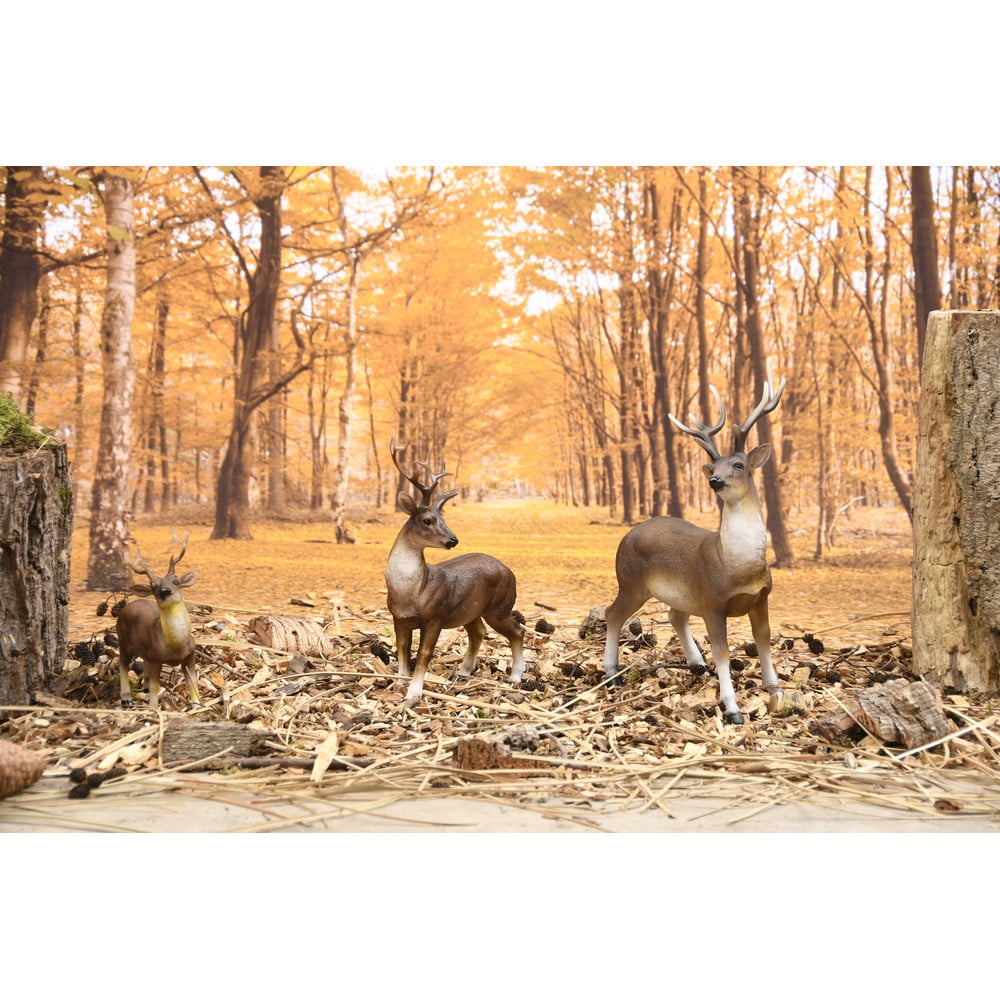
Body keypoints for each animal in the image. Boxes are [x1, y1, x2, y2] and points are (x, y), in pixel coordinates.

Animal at [115, 534, 201, 710]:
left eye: (176, 581)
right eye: (153, 586)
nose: (164, 591)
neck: (176, 646)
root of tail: (128, 605)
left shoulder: (190, 653)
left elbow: (192, 680)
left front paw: (197, 704)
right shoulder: (156, 656)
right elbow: (156, 685)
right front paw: (153, 707)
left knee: (143, 661)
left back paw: (144, 686)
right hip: (124, 639)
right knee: (122, 664)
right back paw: (127, 699)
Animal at [385, 438, 526, 705]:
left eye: (444, 519)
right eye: (427, 520)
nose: (453, 540)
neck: (409, 593)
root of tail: (510, 571)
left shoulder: (436, 616)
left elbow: (424, 653)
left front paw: (414, 691)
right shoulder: (398, 618)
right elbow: (402, 650)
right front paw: (398, 682)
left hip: (499, 606)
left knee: (518, 631)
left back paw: (515, 676)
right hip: (472, 610)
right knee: (478, 632)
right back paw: (463, 671)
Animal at [602, 364, 786, 725]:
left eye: (739, 465)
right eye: (712, 467)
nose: (715, 480)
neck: (737, 567)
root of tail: (628, 534)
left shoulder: (762, 597)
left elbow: (764, 640)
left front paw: (776, 691)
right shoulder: (713, 600)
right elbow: (723, 651)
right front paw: (732, 708)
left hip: (681, 591)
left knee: (675, 615)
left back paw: (696, 663)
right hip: (630, 581)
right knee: (612, 613)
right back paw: (611, 671)